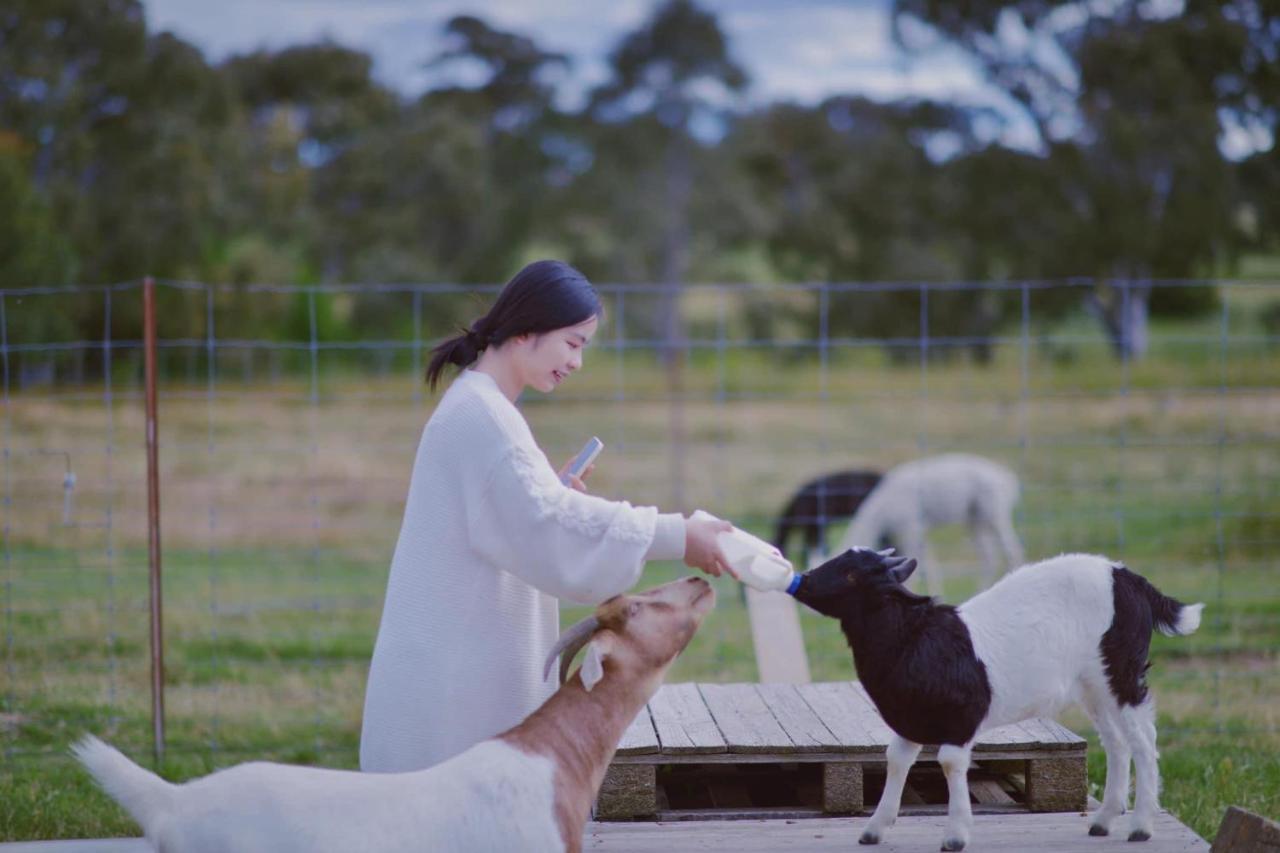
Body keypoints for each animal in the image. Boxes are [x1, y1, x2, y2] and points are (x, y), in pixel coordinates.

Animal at [793, 548, 1203, 845]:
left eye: (852, 574)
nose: (805, 581)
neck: (915, 637)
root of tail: (1130, 580)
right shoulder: (910, 718)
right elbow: (896, 760)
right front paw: (874, 829)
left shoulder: (960, 717)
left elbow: (949, 763)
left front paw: (956, 835)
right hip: (1093, 685)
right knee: (1117, 742)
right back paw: (1103, 821)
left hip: (1121, 673)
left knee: (1143, 740)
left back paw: (1141, 827)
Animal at [834, 450, 1024, 591]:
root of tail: (1009, 480)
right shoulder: (919, 530)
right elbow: (928, 566)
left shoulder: (910, 527)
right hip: (975, 519)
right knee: (989, 556)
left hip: (995, 512)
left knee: (1011, 549)